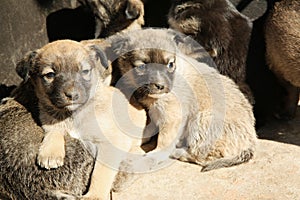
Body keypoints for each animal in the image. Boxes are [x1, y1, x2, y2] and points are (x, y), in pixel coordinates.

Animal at [16, 39, 146, 199]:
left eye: (85, 71)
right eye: (50, 74)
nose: (72, 95)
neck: (73, 115)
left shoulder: (112, 142)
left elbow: (100, 172)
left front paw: (95, 195)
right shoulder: (49, 120)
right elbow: (54, 130)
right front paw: (50, 152)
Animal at [109, 28, 256, 172]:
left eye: (170, 64)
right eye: (141, 67)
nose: (161, 86)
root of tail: (250, 143)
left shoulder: (172, 117)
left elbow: (163, 141)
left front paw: (152, 156)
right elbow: (148, 127)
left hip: (203, 119)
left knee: (201, 155)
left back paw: (178, 152)